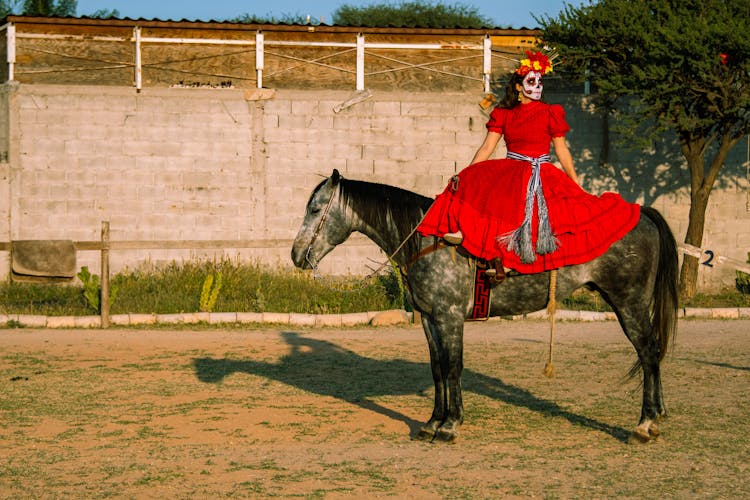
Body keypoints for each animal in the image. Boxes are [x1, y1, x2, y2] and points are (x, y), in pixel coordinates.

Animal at [290, 170, 680, 444]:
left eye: (315, 208)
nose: (296, 255)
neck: (428, 239)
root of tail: (641, 213)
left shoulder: (450, 318)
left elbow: (453, 367)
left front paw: (450, 425)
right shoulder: (429, 319)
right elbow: (437, 368)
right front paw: (432, 422)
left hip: (629, 303)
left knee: (648, 353)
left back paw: (644, 424)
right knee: (652, 353)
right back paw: (657, 417)